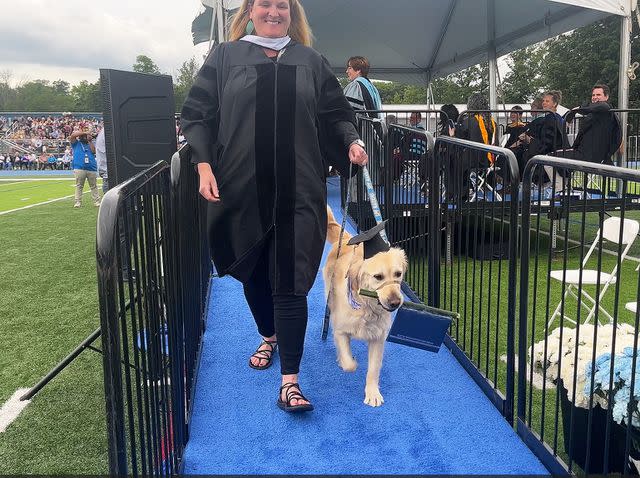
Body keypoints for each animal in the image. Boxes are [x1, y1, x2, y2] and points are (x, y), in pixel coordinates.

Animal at [322, 206, 408, 408]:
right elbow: (349, 364)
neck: (366, 307)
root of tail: (346, 239)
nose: (395, 302)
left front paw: (372, 393)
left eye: (398, 274)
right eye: (378, 277)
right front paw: (346, 360)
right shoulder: (340, 330)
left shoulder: (378, 338)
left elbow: (373, 370)